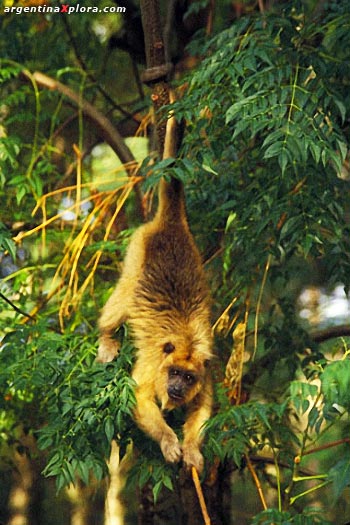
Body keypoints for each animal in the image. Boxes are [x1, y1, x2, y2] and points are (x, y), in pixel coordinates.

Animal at [97, 175, 215, 470]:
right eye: (173, 372)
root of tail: (170, 225)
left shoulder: (206, 371)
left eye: (188, 377)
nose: (177, 387)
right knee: (125, 296)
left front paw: (192, 449)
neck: (186, 344)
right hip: (137, 250)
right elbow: (138, 397)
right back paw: (106, 337)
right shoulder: (154, 364)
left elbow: (202, 408)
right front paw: (169, 442)